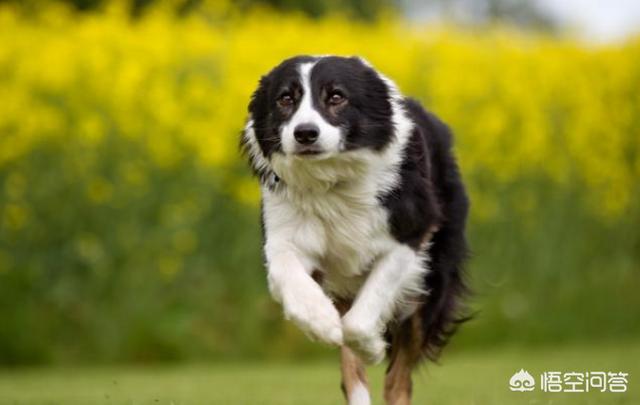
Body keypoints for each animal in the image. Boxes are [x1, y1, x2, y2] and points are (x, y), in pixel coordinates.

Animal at [240, 55, 470, 402]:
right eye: (285, 99)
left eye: (337, 97)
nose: (305, 133)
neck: (331, 182)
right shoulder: (285, 234)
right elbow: (289, 276)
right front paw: (321, 323)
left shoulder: (410, 236)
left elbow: (360, 320)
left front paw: (373, 347)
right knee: (353, 373)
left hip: (433, 278)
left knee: (399, 379)